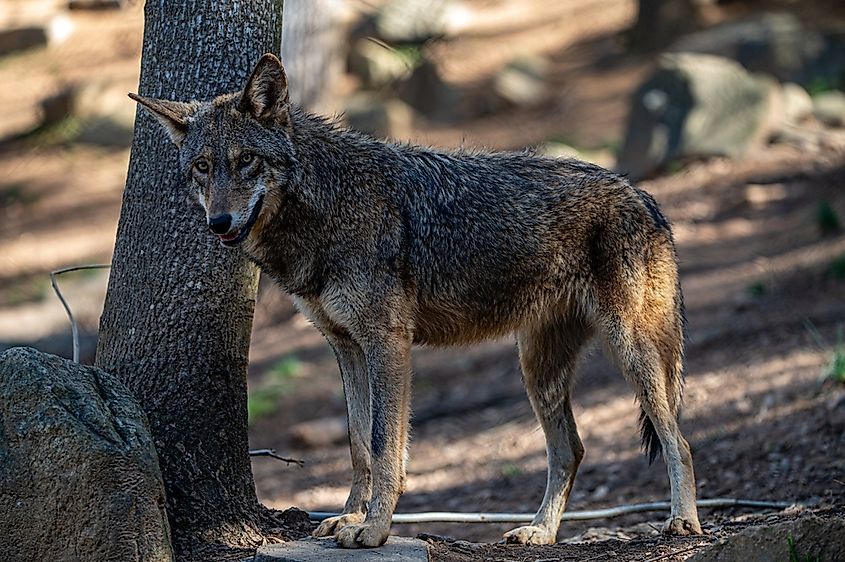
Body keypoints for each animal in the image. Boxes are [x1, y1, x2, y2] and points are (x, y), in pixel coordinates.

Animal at [131, 53, 702, 548]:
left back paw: (682, 522)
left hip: (629, 351)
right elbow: (358, 444)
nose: (218, 223)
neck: (329, 205)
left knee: (678, 438)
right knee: (571, 451)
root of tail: (644, 195)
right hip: (537, 370)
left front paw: (374, 529)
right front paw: (349, 517)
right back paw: (540, 532)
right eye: (203, 167)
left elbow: (385, 445)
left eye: (246, 160)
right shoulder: (347, 346)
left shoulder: (388, 343)